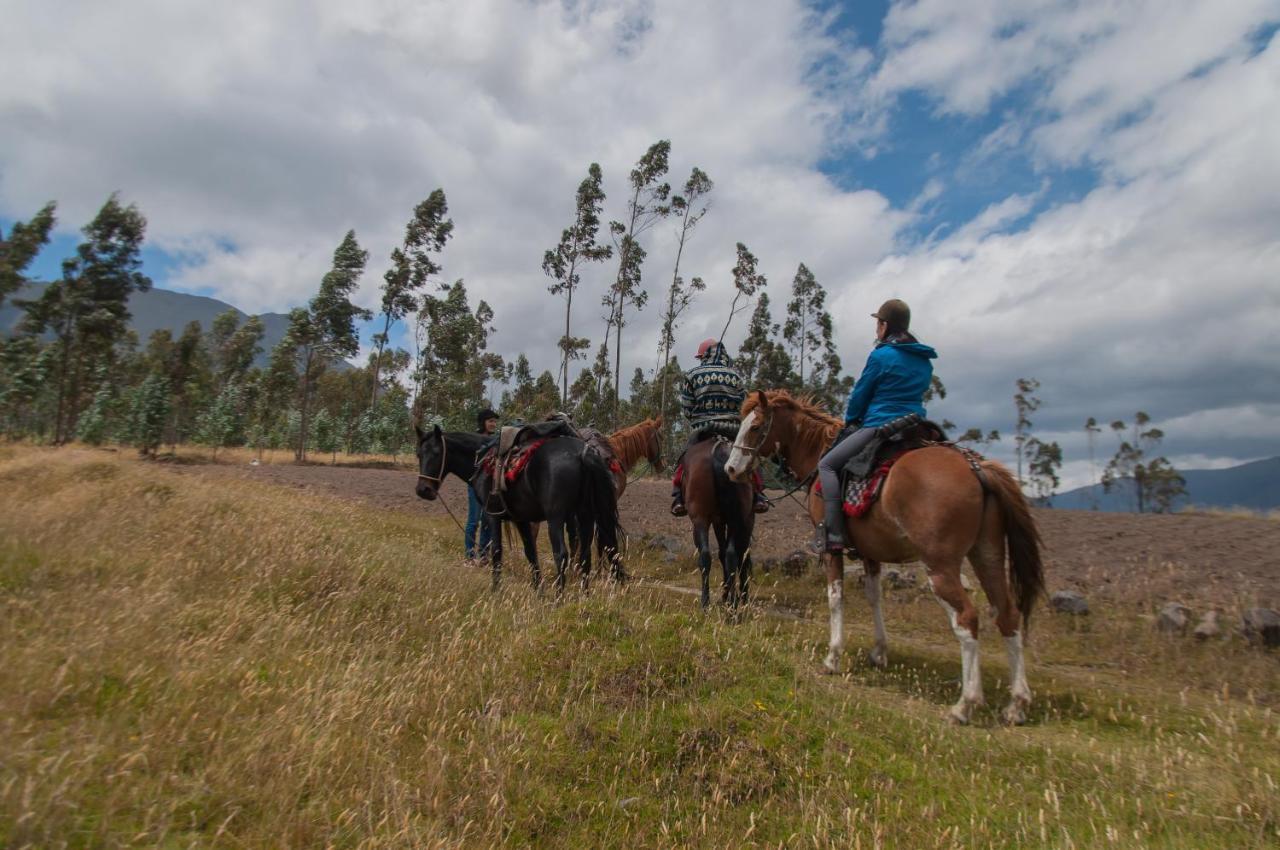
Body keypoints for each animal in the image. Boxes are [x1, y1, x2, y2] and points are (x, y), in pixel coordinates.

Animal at [417, 425, 622, 591]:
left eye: (436, 453)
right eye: (419, 454)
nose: (423, 490)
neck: (482, 460)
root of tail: (582, 454)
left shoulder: (492, 514)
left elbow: (496, 551)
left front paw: (496, 590)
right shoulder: (521, 519)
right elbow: (530, 551)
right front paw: (538, 590)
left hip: (556, 518)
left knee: (561, 554)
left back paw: (559, 599)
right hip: (586, 515)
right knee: (585, 555)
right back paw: (584, 596)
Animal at [680, 435, 747, 606]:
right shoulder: (721, 522)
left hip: (701, 520)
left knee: (706, 557)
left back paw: (707, 601)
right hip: (734, 520)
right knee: (731, 555)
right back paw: (731, 602)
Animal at [727, 391, 1044, 721]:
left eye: (755, 427)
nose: (731, 468)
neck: (818, 454)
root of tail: (976, 467)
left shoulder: (831, 548)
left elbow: (835, 598)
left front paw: (832, 658)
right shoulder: (871, 553)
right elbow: (874, 597)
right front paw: (879, 652)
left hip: (941, 565)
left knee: (967, 618)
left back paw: (965, 703)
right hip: (988, 555)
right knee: (1008, 614)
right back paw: (1017, 703)